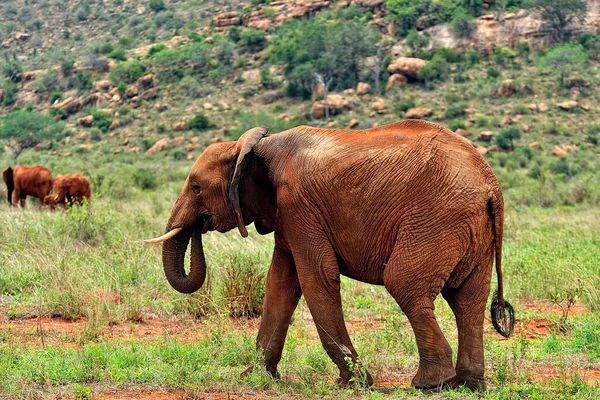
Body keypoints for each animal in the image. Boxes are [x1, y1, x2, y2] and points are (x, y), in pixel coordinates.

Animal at [146, 120, 516, 390]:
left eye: (196, 188)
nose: (199, 225)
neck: (254, 146)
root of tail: (491, 185)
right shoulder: (286, 215)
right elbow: (280, 283)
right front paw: (256, 378)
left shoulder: (299, 206)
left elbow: (316, 277)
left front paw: (354, 383)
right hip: (471, 228)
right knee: (467, 299)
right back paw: (467, 384)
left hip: (436, 219)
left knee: (404, 284)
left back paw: (429, 384)